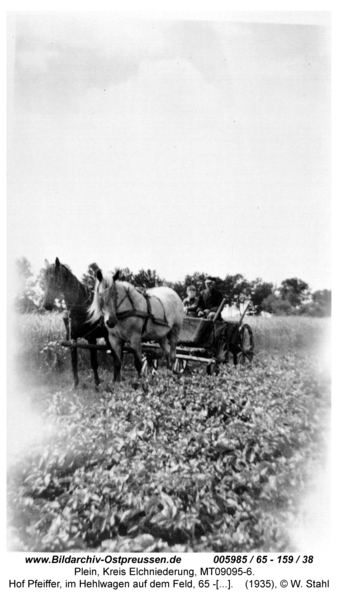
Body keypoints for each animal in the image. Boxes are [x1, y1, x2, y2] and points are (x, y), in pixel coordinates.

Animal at [41, 258, 109, 390]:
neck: (82, 308)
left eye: (53, 278)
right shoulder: (72, 339)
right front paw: (74, 385)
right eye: (44, 280)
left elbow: (94, 362)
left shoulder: (92, 339)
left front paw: (97, 384)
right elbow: (74, 362)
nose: (46, 305)